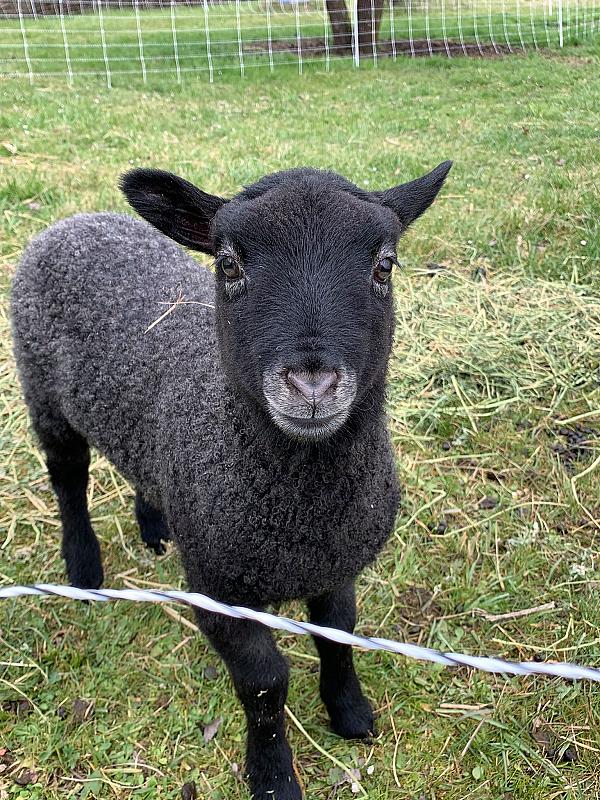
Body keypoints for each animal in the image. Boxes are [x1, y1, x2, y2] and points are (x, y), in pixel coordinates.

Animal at [11, 162, 451, 799]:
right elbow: (265, 682)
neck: (300, 513)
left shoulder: (337, 564)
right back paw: (84, 568)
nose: (311, 385)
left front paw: (350, 713)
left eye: (384, 265)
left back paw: (155, 526)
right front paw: (272, 775)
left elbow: (339, 633)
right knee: (68, 478)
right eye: (229, 264)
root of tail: (76, 221)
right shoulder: (217, 586)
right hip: (43, 392)